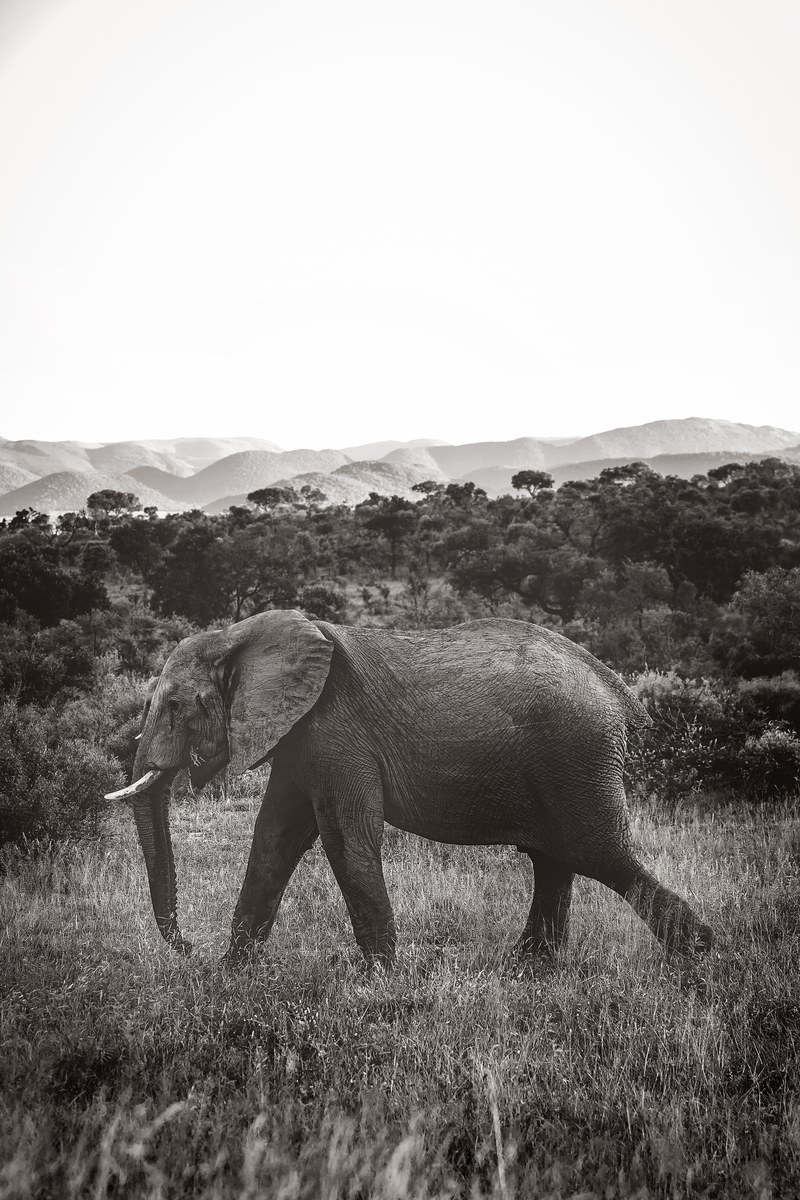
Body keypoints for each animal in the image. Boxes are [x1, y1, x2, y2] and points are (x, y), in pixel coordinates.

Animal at [106, 609, 713, 966]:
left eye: (175, 706)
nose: (190, 949)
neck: (240, 636)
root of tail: (618, 691)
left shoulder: (334, 729)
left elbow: (343, 839)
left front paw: (378, 981)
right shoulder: (299, 737)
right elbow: (274, 838)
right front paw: (235, 976)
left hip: (577, 755)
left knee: (596, 852)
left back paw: (701, 960)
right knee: (554, 860)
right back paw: (528, 973)